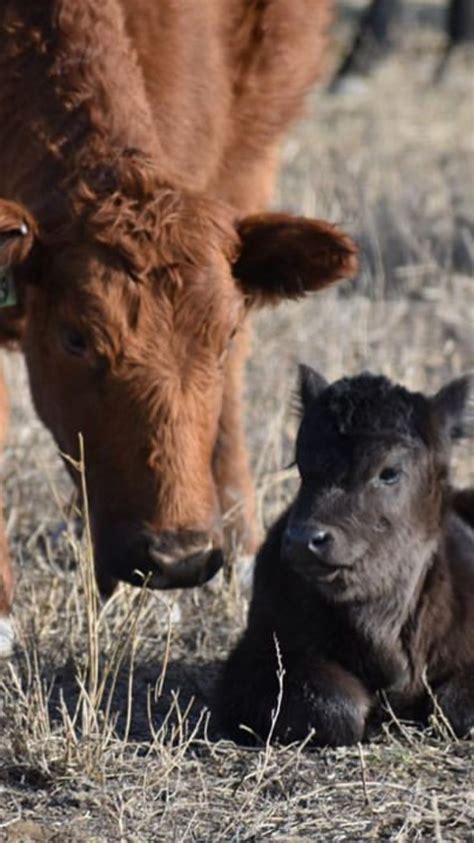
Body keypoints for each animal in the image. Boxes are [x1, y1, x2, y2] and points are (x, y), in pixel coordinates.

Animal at [220, 370, 474, 744]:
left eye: (389, 472)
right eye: (302, 464)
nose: (303, 540)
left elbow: (454, 705)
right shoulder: (255, 657)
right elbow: (336, 703)